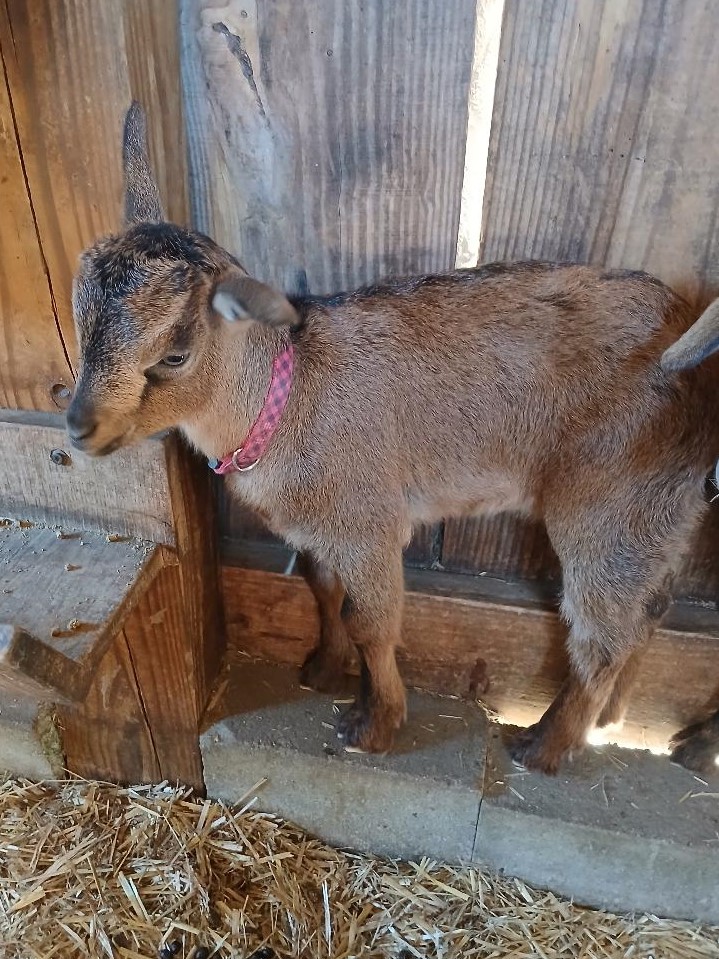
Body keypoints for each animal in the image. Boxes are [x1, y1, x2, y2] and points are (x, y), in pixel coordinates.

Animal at [67, 103, 719, 775]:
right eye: (80, 319)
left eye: (174, 354)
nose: (79, 425)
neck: (291, 396)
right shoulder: (321, 528)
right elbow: (325, 592)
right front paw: (323, 671)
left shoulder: (368, 522)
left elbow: (370, 621)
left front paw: (374, 725)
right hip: (663, 511)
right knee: (651, 609)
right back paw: (623, 723)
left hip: (613, 502)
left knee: (603, 634)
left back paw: (543, 746)